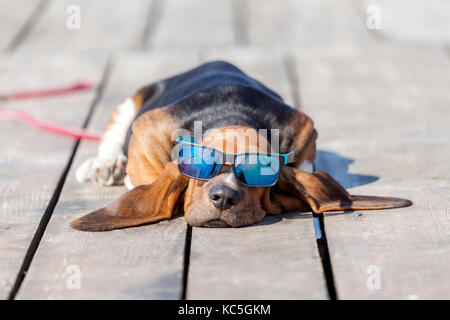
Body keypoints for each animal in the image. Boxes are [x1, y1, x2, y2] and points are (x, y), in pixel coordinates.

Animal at [71, 60, 412, 231]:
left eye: (257, 172)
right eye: (203, 168)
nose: (222, 198)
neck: (230, 117)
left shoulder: (305, 130)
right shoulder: (147, 127)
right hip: (133, 102)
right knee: (114, 134)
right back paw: (106, 164)